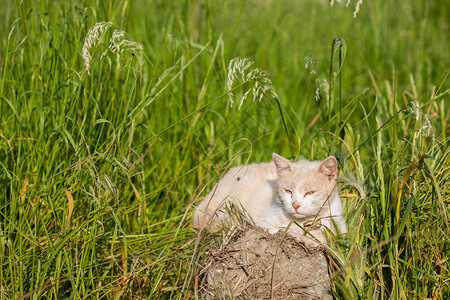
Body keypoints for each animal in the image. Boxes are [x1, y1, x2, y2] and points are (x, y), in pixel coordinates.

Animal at [192, 154, 346, 245]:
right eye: (288, 191)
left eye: (310, 192)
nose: (295, 205)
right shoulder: (265, 224)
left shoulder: (338, 225)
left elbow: (325, 236)